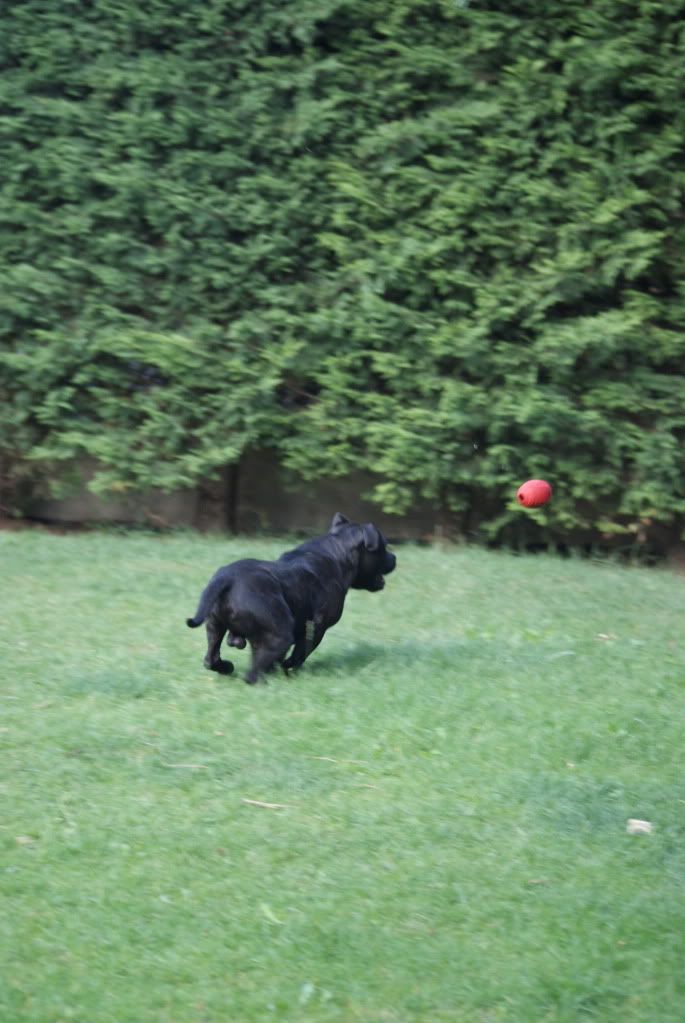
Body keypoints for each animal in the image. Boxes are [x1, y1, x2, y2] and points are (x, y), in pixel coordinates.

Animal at [186, 515, 396, 683]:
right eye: (384, 547)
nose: (394, 558)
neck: (337, 552)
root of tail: (227, 578)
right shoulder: (317, 627)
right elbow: (301, 651)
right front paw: (289, 667)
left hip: (214, 626)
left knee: (211, 658)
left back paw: (228, 667)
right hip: (279, 634)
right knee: (253, 673)